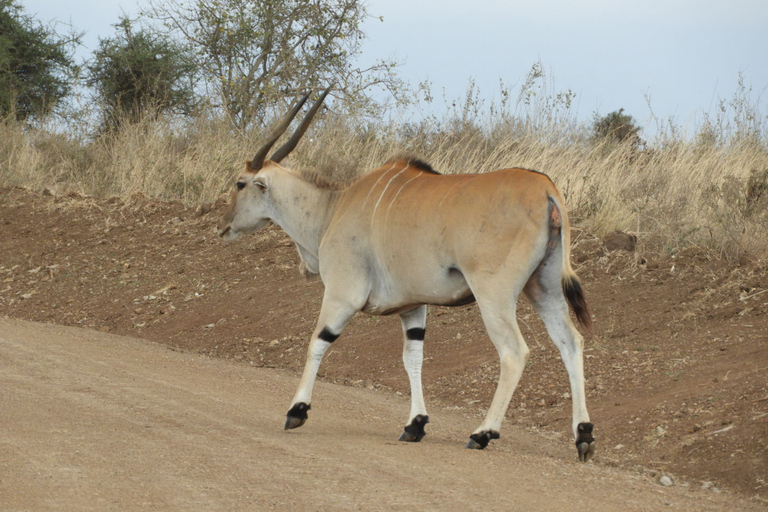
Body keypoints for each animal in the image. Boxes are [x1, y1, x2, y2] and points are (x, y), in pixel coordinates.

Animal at [216, 91, 592, 460]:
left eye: (240, 183)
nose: (223, 225)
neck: (332, 208)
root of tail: (545, 189)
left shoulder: (341, 295)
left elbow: (318, 342)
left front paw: (297, 411)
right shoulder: (413, 307)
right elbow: (413, 357)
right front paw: (415, 424)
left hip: (494, 296)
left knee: (514, 352)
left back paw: (482, 433)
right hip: (544, 289)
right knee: (570, 342)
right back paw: (583, 435)